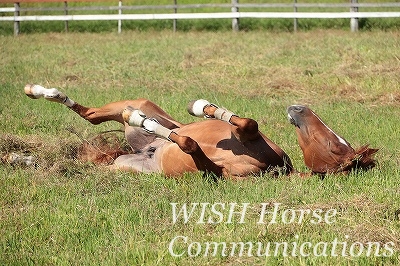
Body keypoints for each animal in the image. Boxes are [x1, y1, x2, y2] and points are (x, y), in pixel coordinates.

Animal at [23, 83, 376, 179]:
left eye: (333, 146)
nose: (299, 108)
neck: (271, 167)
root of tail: (140, 151)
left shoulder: (216, 174)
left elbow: (190, 144)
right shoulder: (248, 135)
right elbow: (245, 122)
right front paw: (203, 107)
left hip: (121, 167)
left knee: (93, 130)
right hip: (140, 101)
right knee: (93, 116)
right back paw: (40, 91)